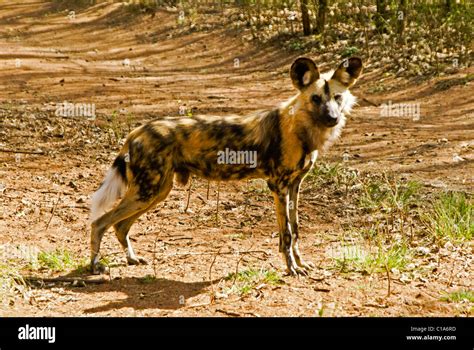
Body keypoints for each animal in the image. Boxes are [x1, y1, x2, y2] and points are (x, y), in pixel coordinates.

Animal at [89, 56, 362, 276]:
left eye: (337, 97)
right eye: (315, 98)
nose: (332, 118)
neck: (301, 129)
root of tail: (137, 131)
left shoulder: (294, 187)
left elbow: (295, 231)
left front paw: (301, 264)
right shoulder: (279, 187)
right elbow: (285, 234)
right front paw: (291, 268)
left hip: (156, 192)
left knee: (119, 225)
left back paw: (131, 259)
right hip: (147, 192)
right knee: (99, 222)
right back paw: (94, 266)